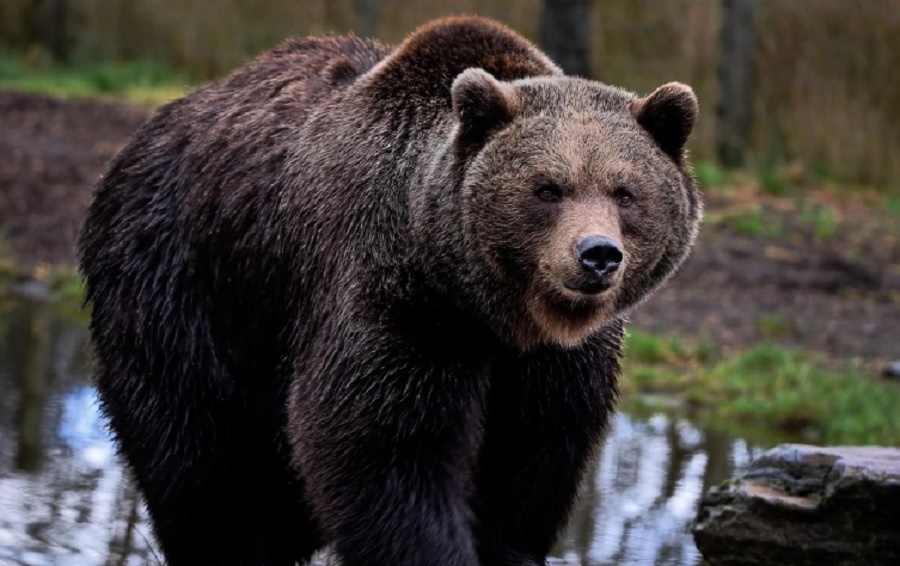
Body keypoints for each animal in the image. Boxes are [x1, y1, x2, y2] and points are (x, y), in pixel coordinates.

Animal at [77, 15, 704, 566]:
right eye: (547, 189)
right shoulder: (396, 303)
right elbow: (386, 452)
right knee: (198, 465)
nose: (597, 254)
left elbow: (528, 465)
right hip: (181, 285)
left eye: (625, 192)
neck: (491, 311)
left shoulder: (552, 367)